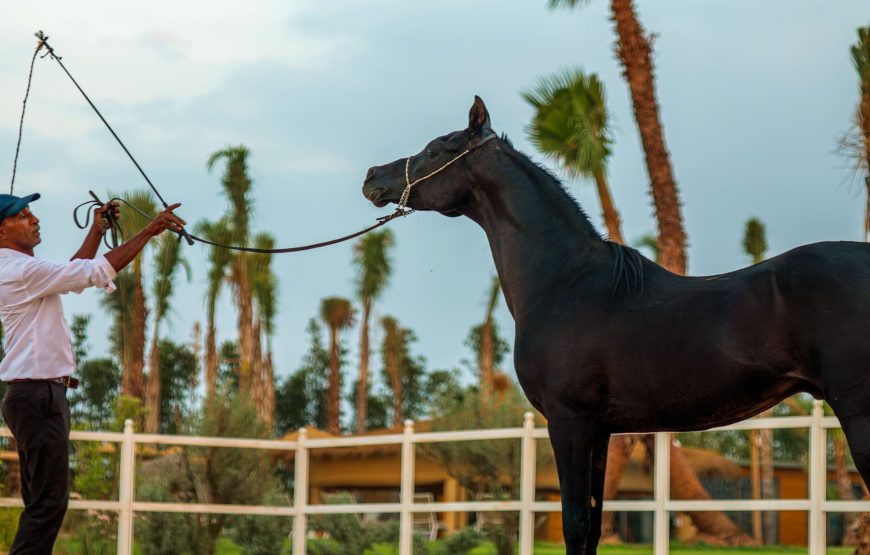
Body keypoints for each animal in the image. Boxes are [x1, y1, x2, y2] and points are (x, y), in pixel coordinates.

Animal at [362, 97, 870, 552]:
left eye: (437, 148)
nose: (372, 177)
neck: (565, 281)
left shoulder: (569, 421)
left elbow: (576, 525)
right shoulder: (601, 429)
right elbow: (592, 522)